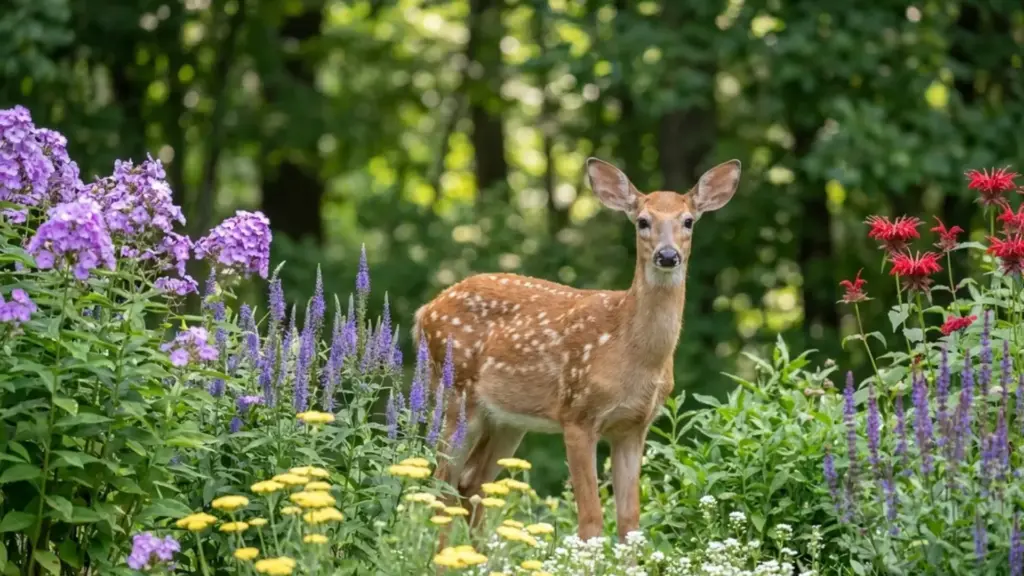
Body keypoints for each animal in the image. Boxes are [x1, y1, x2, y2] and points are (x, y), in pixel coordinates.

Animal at [412, 156, 741, 541]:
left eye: (688, 221)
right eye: (643, 221)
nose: (667, 255)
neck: (630, 350)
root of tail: (425, 311)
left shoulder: (634, 426)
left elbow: (630, 519)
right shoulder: (577, 415)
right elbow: (591, 519)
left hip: (507, 419)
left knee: (471, 483)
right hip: (456, 398)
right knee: (443, 485)